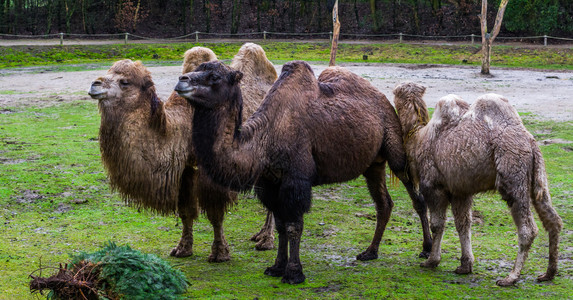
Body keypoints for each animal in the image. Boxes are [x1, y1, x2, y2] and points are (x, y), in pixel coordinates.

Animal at [86, 42, 278, 262]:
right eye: (109, 72)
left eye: (124, 81)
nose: (95, 84)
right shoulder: (185, 170)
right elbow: (185, 212)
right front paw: (183, 248)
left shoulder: (210, 171)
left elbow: (215, 213)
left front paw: (220, 253)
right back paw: (261, 235)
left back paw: (267, 240)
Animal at [174, 60, 428, 284]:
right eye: (198, 68)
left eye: (214, 77)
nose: (181, 80)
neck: (263, 141)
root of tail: (383, 98)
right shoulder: (270, 182)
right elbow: (280, 226)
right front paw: (276, 267)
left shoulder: (296, 179)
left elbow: (294, 226)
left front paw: (294, 273)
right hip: (373, 164)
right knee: (384, 203)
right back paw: (370, 252)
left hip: (394, 146)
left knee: (415, 195)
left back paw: (425, 251)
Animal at [392, 81, 560, 286]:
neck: (418, 137)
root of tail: (530, 142)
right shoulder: (459, 190)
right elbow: (463, 223)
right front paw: (465, 265)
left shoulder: (433, 186)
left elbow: (437, 224)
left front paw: (432, 261)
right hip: (537, 176)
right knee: (552, 218)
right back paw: (548, 273)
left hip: (513, 172)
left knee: (528, 228)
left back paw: (511, 277)